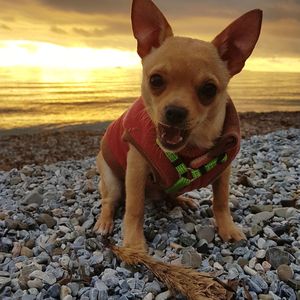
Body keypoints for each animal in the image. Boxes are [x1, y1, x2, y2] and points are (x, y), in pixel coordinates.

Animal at [94, 0, 262, 251]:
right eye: (155, 80)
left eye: (209, 89)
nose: (175, 111)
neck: (192, 148)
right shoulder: (136, 168)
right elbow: (134, 208)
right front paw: (134, 244)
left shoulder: (224, 172)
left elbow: (221, 201)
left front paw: (227, 228)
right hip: (112, 181)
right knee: (110, 201)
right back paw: (104, 222)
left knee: (169, 194)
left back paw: (181, 199)